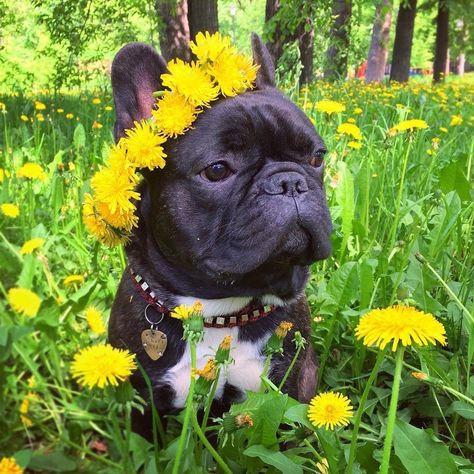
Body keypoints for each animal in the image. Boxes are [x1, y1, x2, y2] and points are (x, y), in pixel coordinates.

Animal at [108, 34, 332, 440]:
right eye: (216, 170)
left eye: (317, 158)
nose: (289, 181)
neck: (217, 312)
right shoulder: (143, 403)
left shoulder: (287, 389)